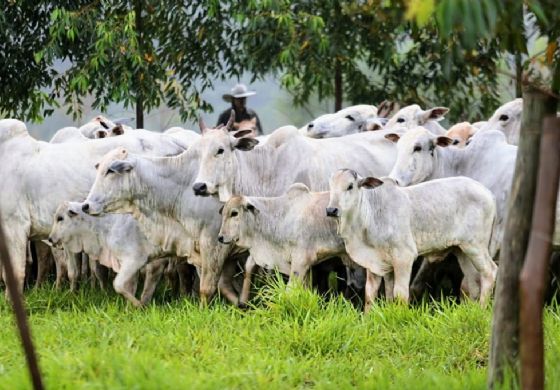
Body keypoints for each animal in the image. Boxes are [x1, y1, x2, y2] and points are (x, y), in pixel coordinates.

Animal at [326, 170, 496, 308]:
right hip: (462, 250)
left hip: (476, 246)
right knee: (473, 282)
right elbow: (372, 294)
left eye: (350, 186)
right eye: (331, 186)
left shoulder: (404, 257)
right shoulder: (376, 263)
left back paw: (481, 309)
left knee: (490, 272)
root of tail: (487, 192)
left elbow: (400, 294)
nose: (331, 210)